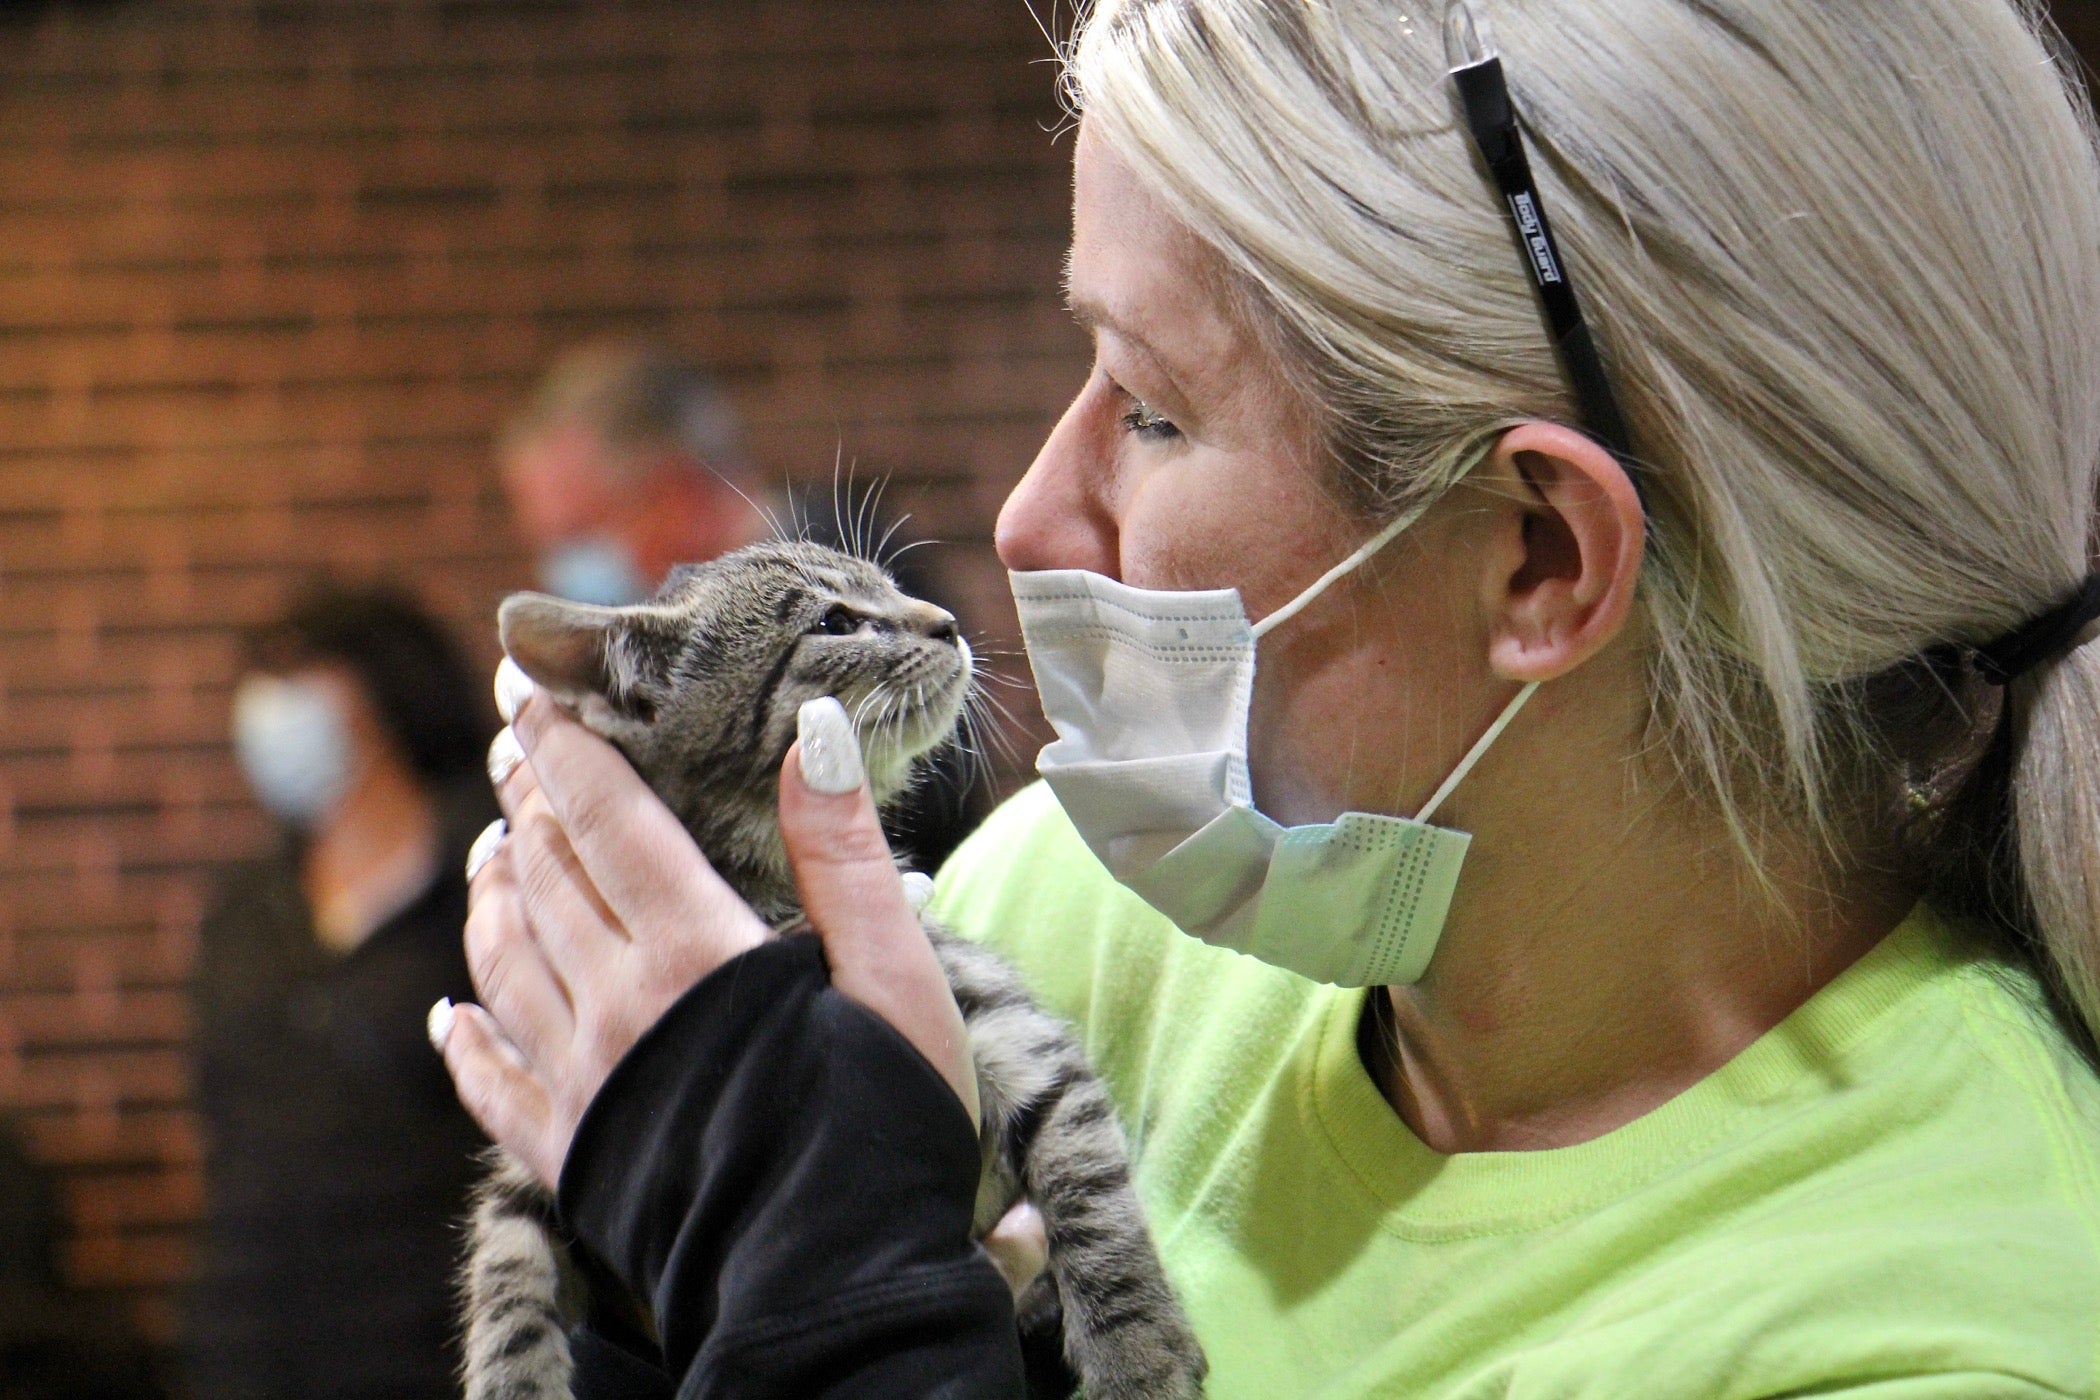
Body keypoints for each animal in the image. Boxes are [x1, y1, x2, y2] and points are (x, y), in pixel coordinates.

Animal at [466, 541, 1209, 1400]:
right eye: (836, 622)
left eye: (890, 588)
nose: (947, 622)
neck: (766, 886)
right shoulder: (537, 1150)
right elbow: (506, 1276)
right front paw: (510, 1379)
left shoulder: (1012, 1029)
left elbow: (1092, 1187)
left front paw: (1138, 1352)